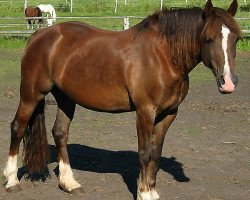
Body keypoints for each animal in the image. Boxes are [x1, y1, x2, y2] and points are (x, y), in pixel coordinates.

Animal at [4, 0, 242, 199]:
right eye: (208, 39)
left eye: (236, 38)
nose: (228, 83)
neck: (163, 56)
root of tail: (39, 35)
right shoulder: (145, 111)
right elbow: (145, 153)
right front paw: (144, 194)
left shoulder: (169, 114)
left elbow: (155, 153)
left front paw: (152, 191)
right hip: (31, 95)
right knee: (17, 128)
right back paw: (12, 181)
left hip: (66, 98)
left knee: (60, 133)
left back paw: (69, 183)